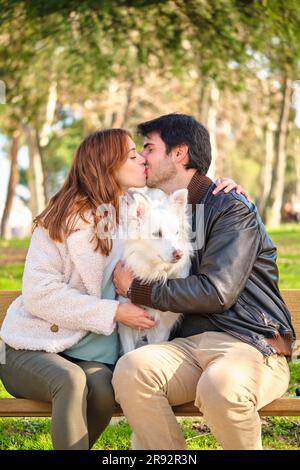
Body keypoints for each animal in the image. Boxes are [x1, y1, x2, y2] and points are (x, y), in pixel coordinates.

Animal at [117, 187, 192, 352]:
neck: (154, 270)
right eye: (158, 234)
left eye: (177, 233)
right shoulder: (126, 326)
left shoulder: (162, 327)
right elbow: (128, 351)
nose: (179, 254)